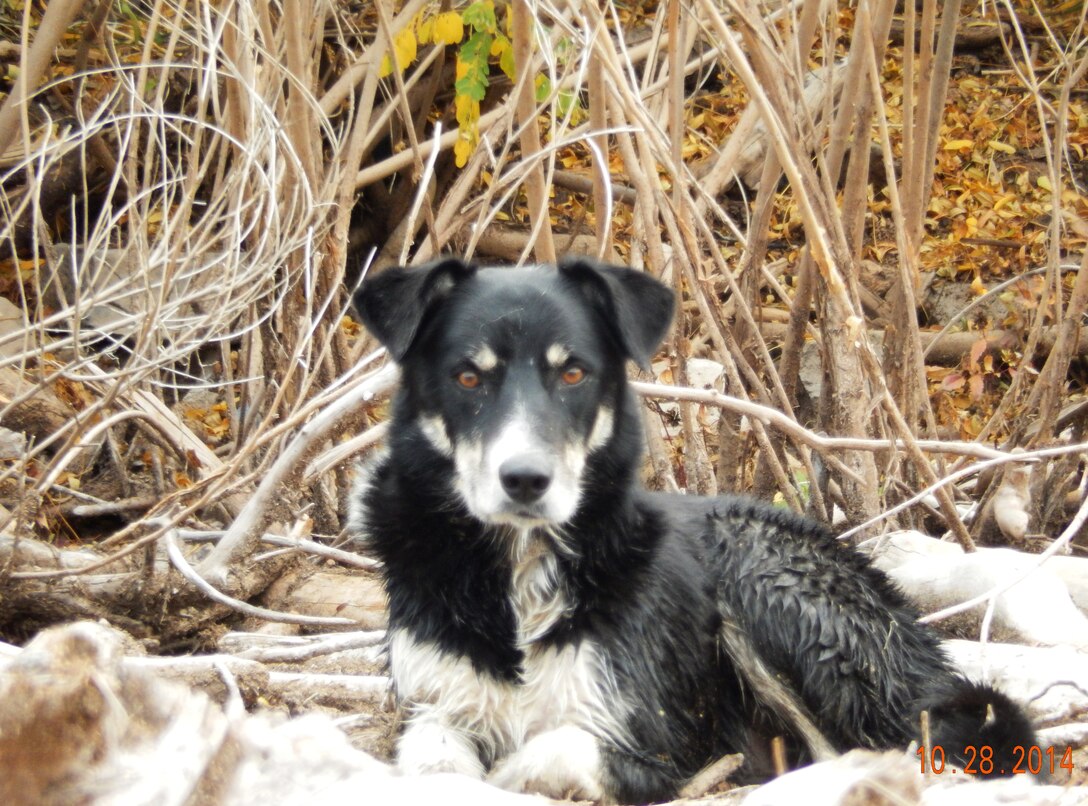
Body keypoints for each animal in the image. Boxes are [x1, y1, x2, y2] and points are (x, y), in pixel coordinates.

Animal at [354, 258, 1035, 804]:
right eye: (468, 377)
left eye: (573, 374)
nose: (525, 480)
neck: (520, 563)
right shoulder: (433, 702)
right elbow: (431, 754)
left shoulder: (653, 740)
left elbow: (557, 747)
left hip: (759, 573)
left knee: (867, 747)